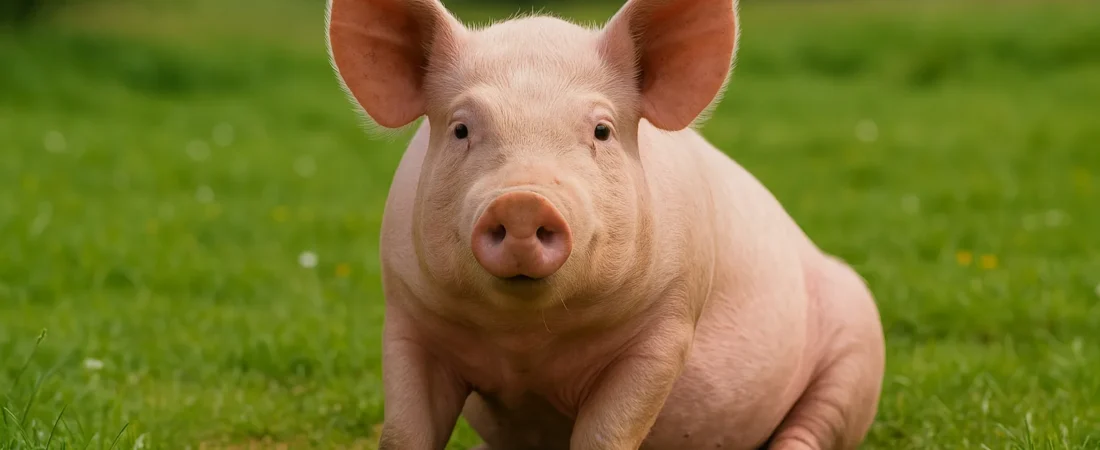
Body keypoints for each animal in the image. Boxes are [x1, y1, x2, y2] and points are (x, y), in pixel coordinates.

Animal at [325, 0, 886, 448]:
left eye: (601, 130)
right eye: (462, 128)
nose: (523, 201)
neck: (525, 347)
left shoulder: (668, 324)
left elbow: (607, 434)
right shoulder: (407, 317)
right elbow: (405, 431)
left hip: (859, 354)